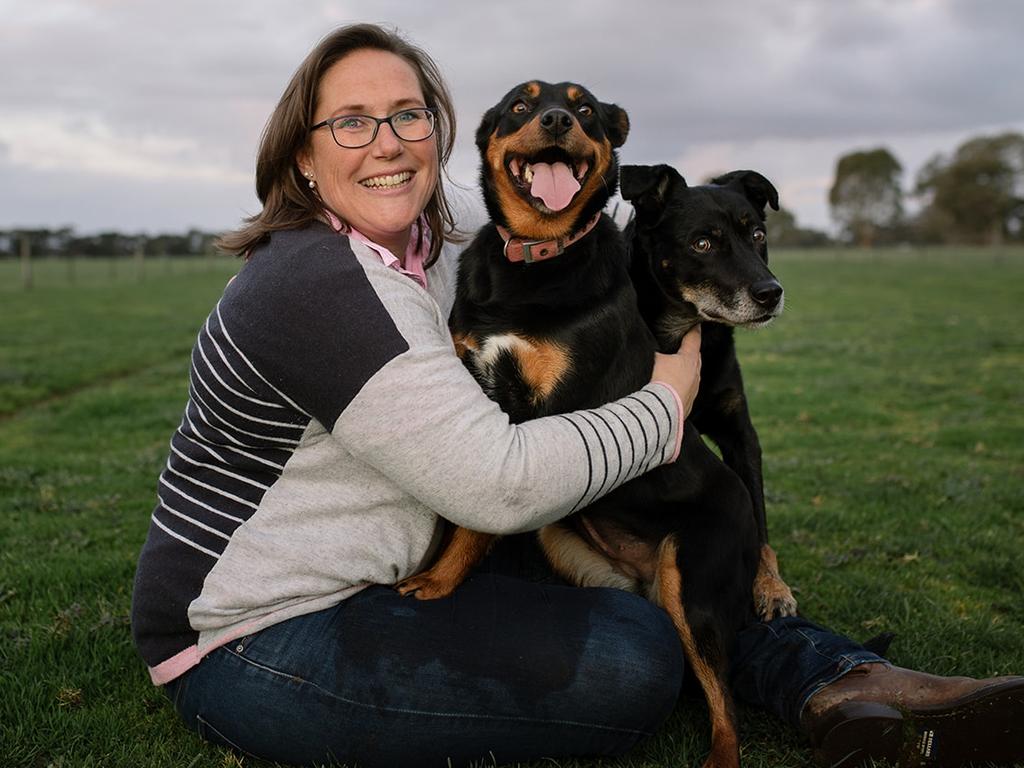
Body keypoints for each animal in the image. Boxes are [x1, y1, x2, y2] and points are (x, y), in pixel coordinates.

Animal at [395, 81, 786, 765]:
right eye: (520, 106)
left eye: (584, 109)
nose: (556, 119)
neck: (533, 261)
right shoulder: (476, 387)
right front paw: (439, 570)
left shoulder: (540, 418)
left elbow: (472, 519)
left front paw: (439, 582)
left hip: (695, 582)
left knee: (726, 705)